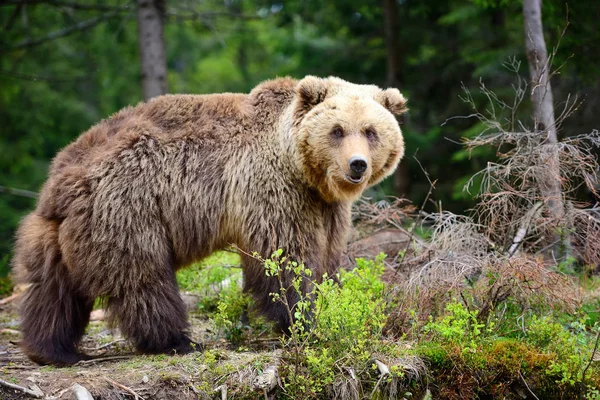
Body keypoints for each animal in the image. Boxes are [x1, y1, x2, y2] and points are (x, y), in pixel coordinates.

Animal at [12, 76, 408, 366]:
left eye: (371, 131)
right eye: (337, 130)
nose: (357, 165)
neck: (303, 169)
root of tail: (61, 178)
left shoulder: (325, 207)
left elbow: (327, 258)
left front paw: (330, 307)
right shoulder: (274, 191)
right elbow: (285, 260)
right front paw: (304, 321)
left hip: (58, 231)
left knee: (52, 288)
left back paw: (53, 349)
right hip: (127, 208)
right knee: (143, 279)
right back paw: (175, 340)